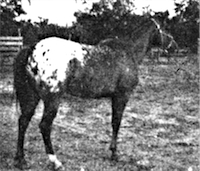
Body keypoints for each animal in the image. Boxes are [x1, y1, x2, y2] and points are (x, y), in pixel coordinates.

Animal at [13, 17, 161, 170]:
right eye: (161, 29)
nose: (169, 43)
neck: (127, 53)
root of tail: (33, 49)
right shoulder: (122, 96)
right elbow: (116, 122)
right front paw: (114, 154)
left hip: (32, 97)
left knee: (23, 121)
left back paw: (21, 160)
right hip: (52, 100)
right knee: (44, 126)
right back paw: (55, 161)